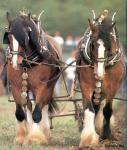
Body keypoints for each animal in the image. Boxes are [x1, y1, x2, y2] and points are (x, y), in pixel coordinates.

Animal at [3, 12, 61, 145]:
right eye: (9, 38)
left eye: (25, 37)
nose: (15, 62)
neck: (27, 63)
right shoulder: (16, 87)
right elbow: (20, 113)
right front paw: (21, 137)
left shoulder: (42, 86)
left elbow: (37, 113)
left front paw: (36, 137)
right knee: (29, 105)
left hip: (49, 86)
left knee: (44, 105)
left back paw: (45, 132)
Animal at [76, 10, 125, 149]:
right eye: (93, 45)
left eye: (109, 47)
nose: (99, 74)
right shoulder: (85, 85)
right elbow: (89, 110)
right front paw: (88, 138)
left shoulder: (113, 86)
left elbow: (107, 110)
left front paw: (106, 136)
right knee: (95, 107)